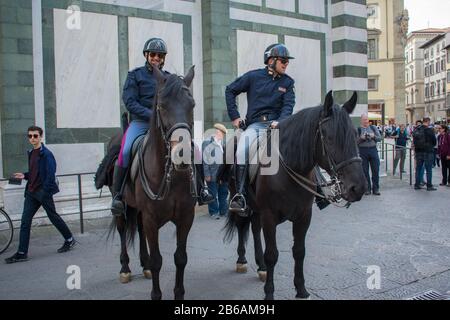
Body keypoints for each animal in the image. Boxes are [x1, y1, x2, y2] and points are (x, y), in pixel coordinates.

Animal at [223, 90, 368, 300]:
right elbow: (272, 254)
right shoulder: (269, 216)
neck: (289, 167)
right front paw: (269, 293)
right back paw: (242, 261)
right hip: (241, 200)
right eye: (329, 137)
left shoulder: (304, 215)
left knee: (255, 229)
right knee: (242, 226)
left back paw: (260, 267)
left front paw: (301, 290)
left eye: (356, 135)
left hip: (257, 208)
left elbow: (299, 251)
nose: (358, 187)